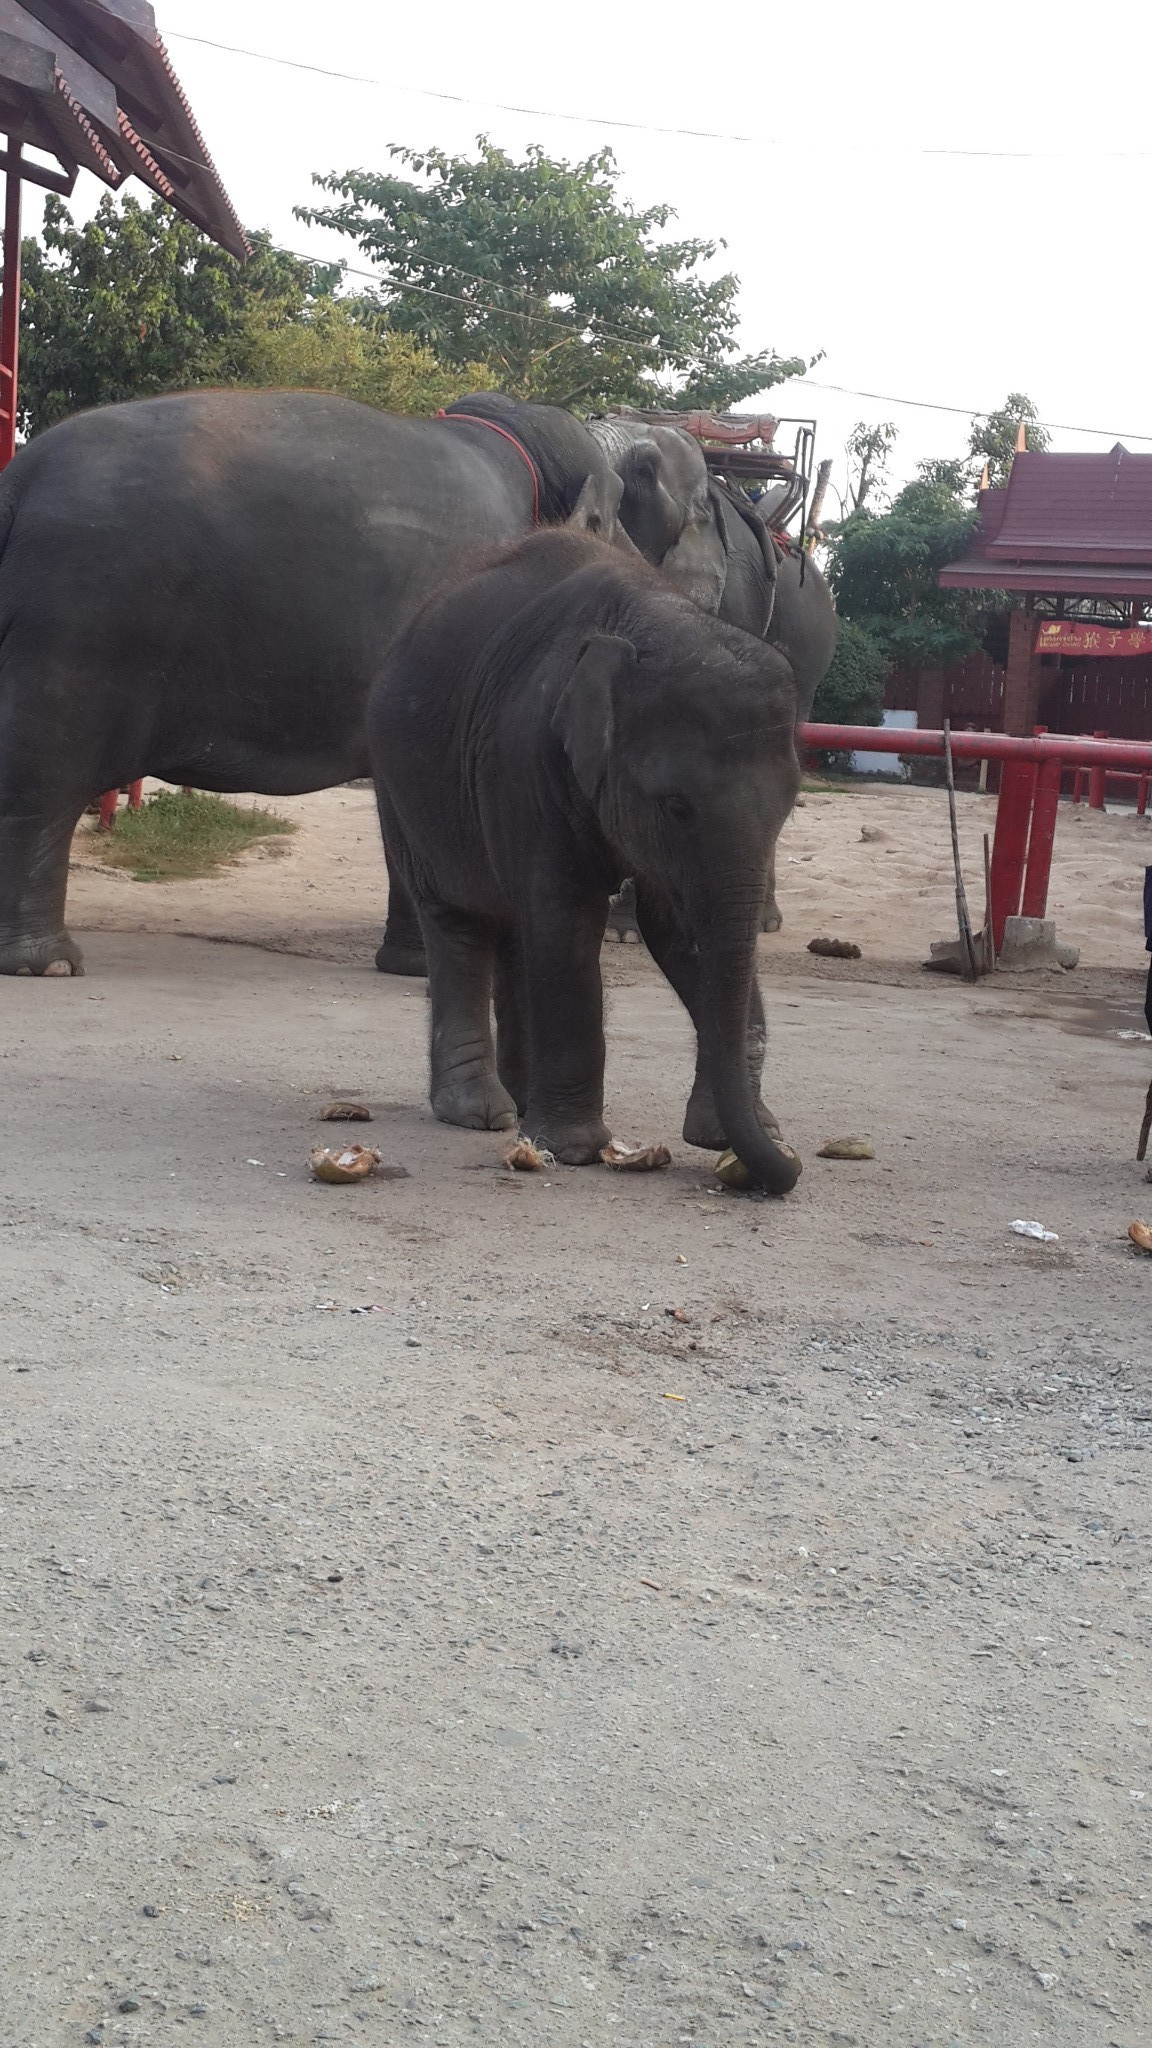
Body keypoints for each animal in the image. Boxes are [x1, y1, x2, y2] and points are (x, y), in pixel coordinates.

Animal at [366, 532, 799, 1196]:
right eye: (676, 806)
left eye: (792, 804)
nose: (789, 1171)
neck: (653, 617)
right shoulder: (524, 754)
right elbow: (566, 917)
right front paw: (573, 1151)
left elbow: (680, 932)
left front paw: (735, 1135)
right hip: (400, 786)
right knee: (458, 920)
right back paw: (482, 1114)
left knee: (515, 928)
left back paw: (521, 1108)